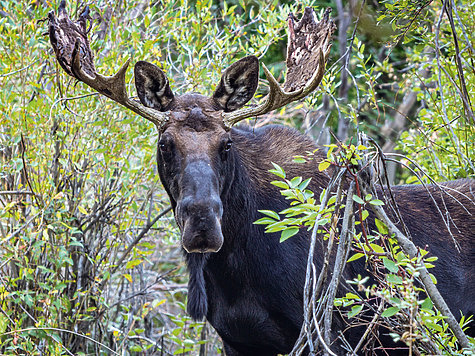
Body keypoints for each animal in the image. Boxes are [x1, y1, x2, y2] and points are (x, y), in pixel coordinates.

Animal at [49, 1, 475, 354]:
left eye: (226, 144)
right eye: (165, 144)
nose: (202, 222)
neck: (234, 271)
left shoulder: (329, 331)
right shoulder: (237, 339)